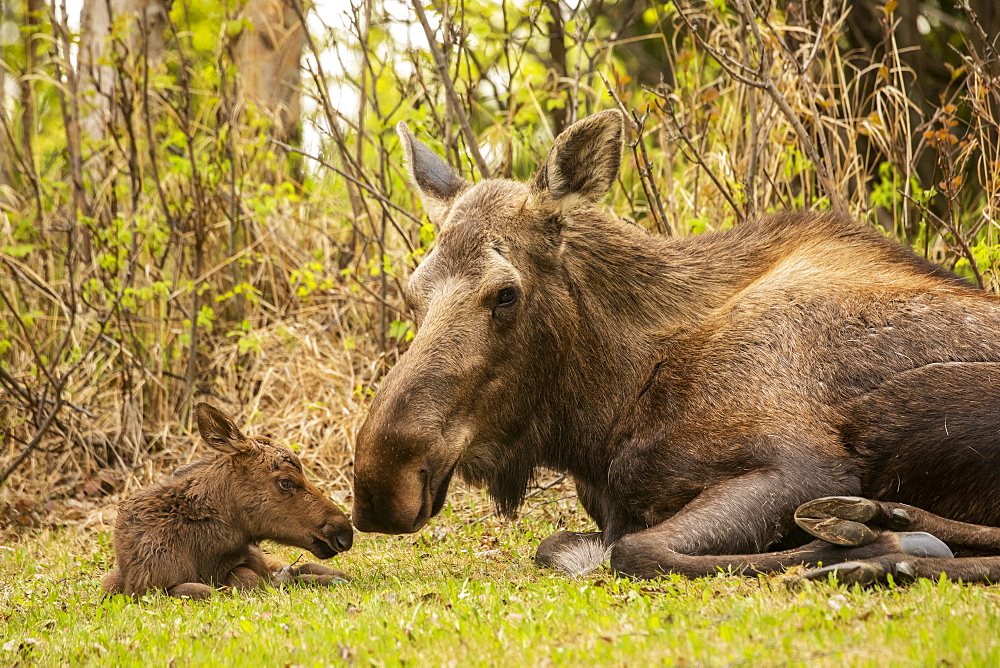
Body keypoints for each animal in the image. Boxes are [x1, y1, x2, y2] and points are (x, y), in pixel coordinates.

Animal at [354, 109, 1000, 584]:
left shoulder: (805, 464)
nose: (382, 483)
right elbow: (561, 544)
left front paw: (872, 545)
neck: (601, 414)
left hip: (919, 403)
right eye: (413, 291)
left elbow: (637, 552)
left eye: (505, 293)